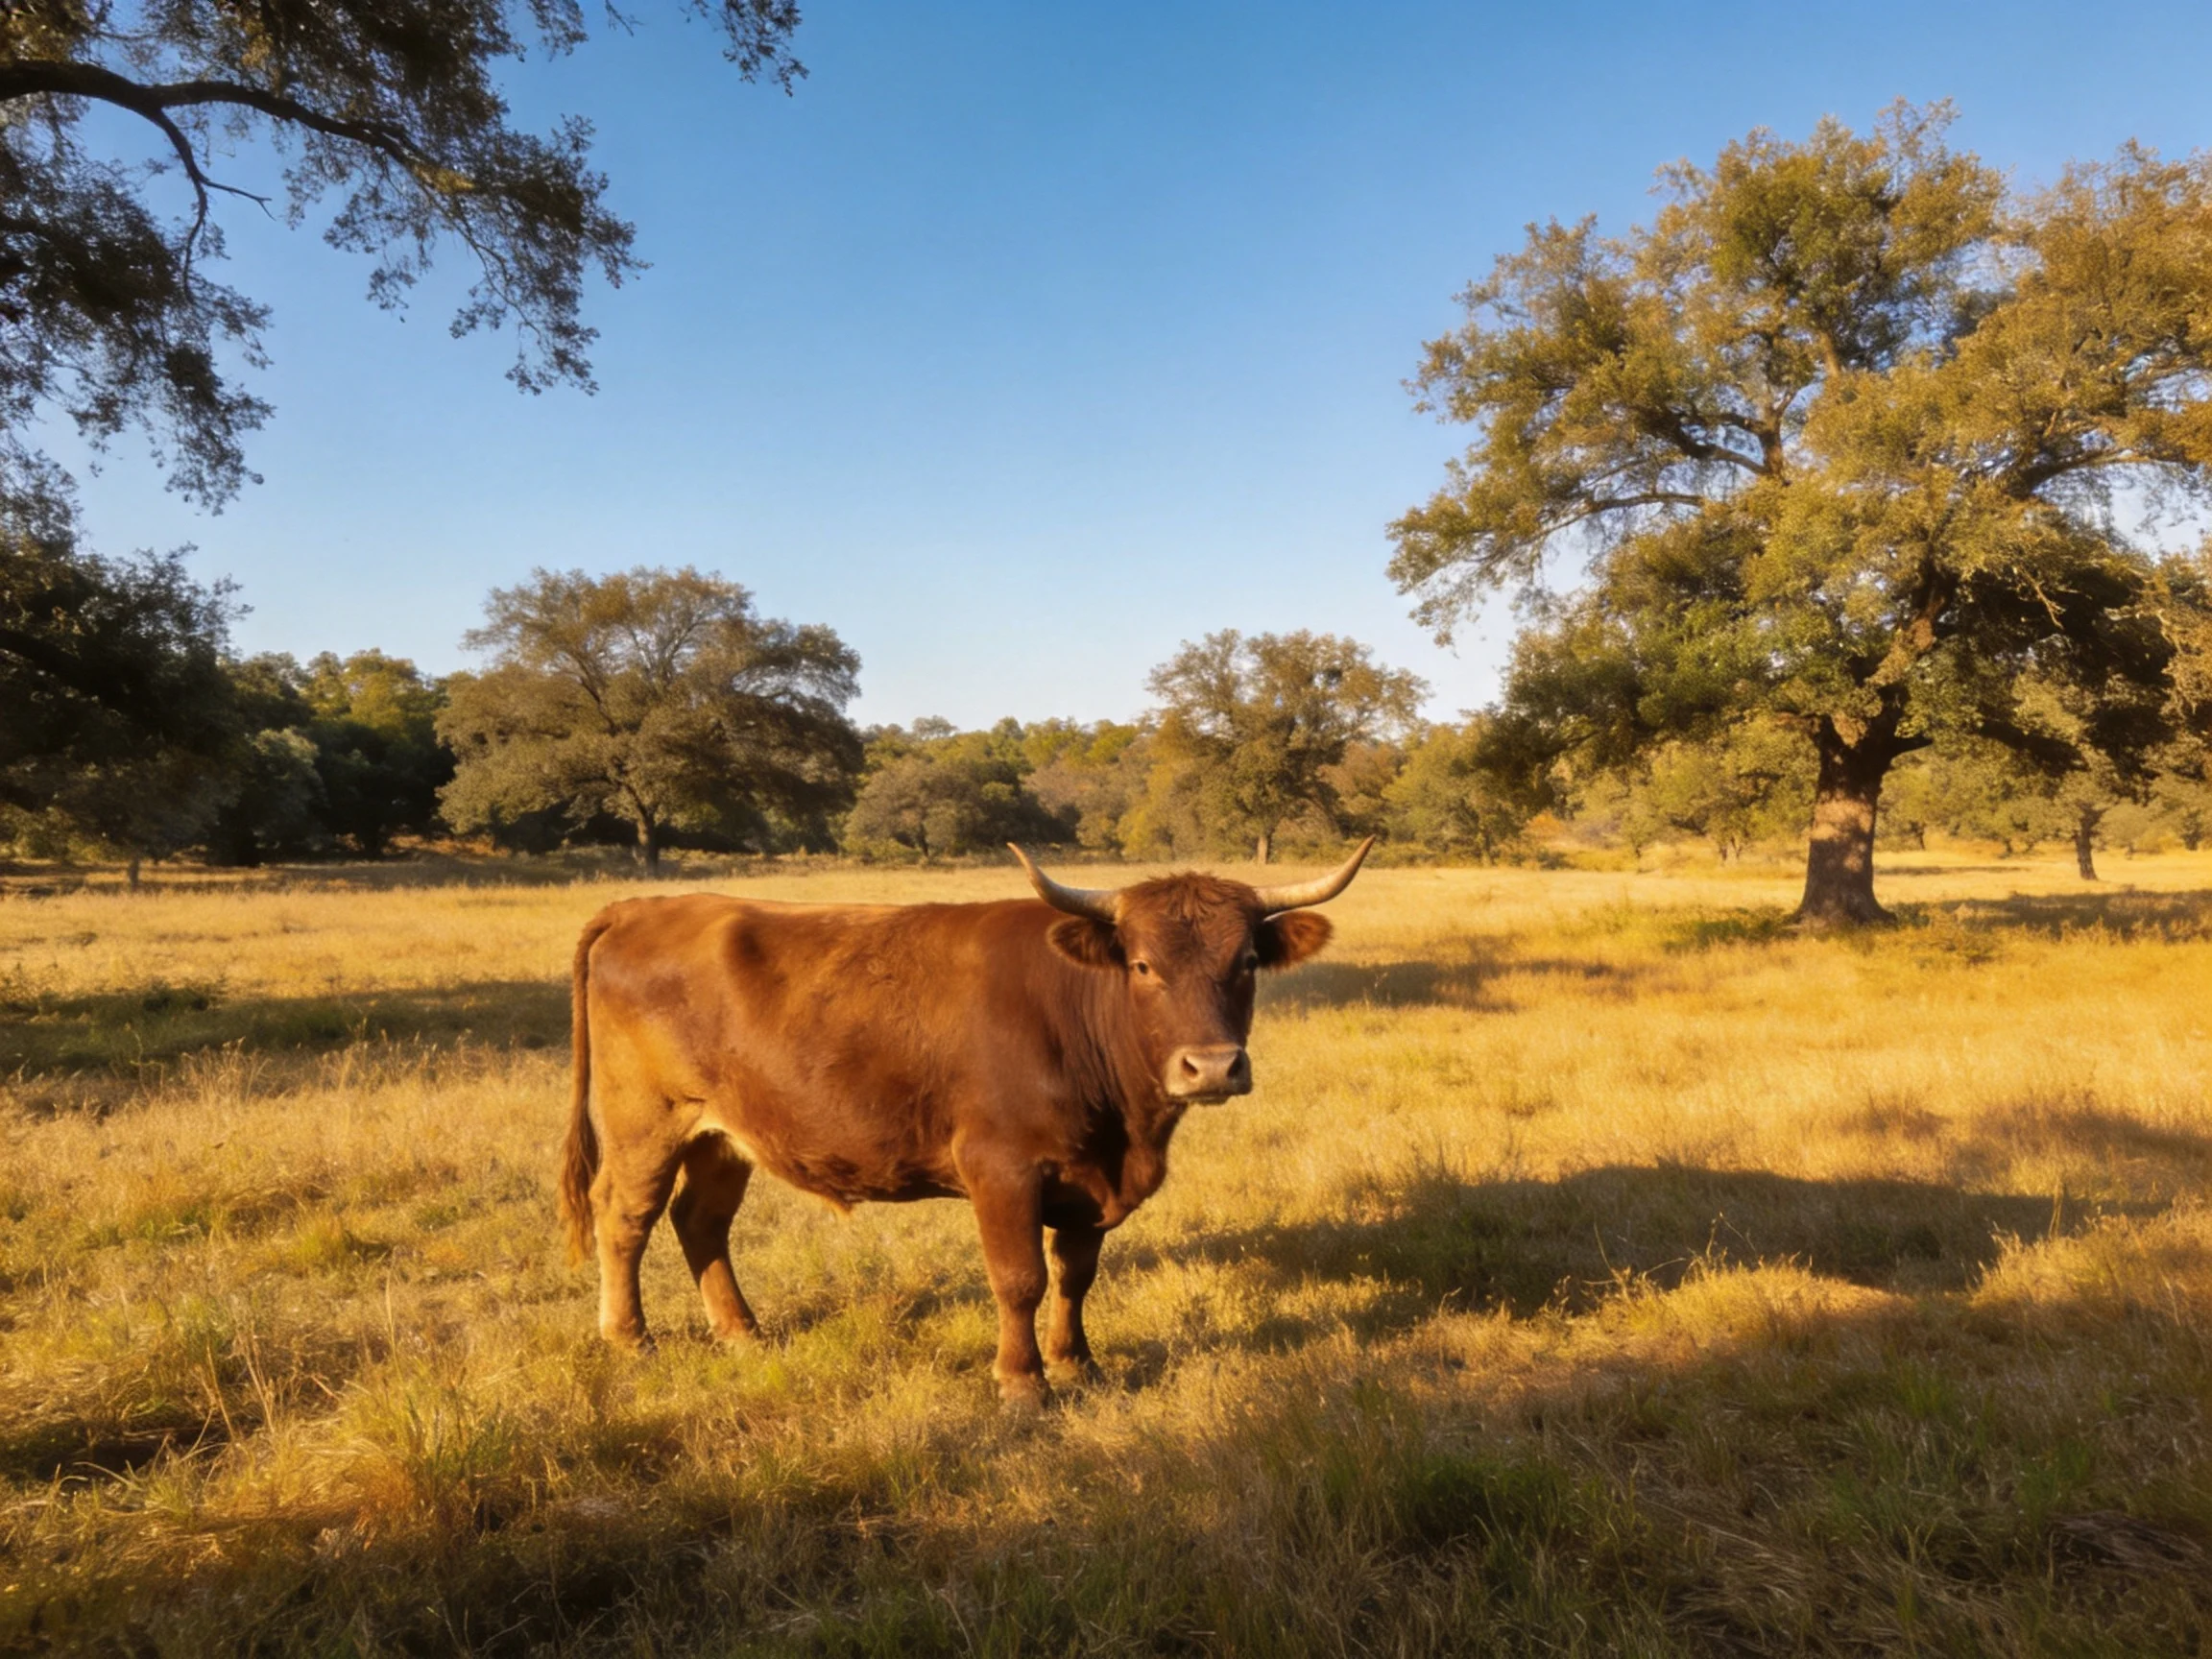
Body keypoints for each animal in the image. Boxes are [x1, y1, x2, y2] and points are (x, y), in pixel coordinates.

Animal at [557, 839, 1372, 1403]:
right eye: (1142, 965)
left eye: (1247, 962)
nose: (1211, 1066)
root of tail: (643, 906)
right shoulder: (1001, 1168)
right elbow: (1019, 1278)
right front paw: (1021, 1383)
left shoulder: (1089, 1179)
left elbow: (1076, 1275)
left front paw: (1077, 1363)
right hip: (646, 1123)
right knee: (626, 1217)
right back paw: (628, 1338)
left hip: (725, 1135)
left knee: (701, 1220)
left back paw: (742, 1335)